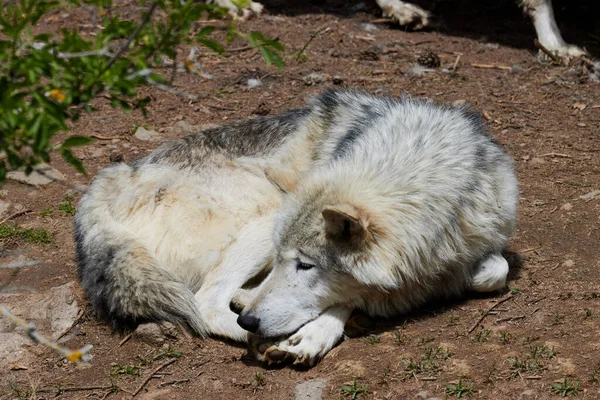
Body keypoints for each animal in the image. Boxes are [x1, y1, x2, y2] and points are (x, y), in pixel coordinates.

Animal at [74, 90, 516, 366]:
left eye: (306, 266)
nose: (252, 322)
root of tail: (119, 174)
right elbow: (347, 295)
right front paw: (311, 333)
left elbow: (495, 270)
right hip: (266, 209)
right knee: (207, 304)